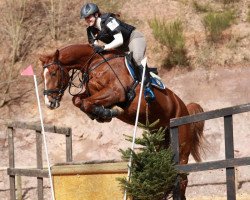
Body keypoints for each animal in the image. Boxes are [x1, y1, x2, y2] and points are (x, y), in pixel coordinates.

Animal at [38, 43, 203, 198]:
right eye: (42, 76)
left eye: (53, 73)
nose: (49, 103)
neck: (95, 63)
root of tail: (184, 108)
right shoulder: (93, 92)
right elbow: (78, 100)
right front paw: (101, 114)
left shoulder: (116, 92)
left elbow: (85, 102)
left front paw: (108, 112)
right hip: (160, 139)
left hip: (181, 145)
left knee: (182, 177)